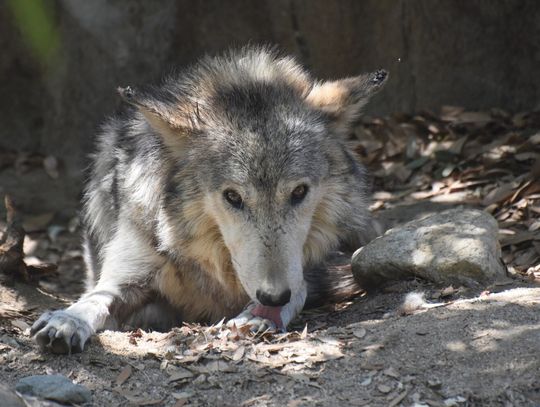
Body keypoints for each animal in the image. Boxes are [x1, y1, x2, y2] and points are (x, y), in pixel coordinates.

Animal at [30, 46, 388, 356]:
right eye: (233, 197)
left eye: (298, 192)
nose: (273, 296)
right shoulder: (129, 275)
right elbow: (97, 298)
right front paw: (68, 320)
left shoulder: (304, 271)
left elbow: (298, 289)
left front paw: (259, 315)